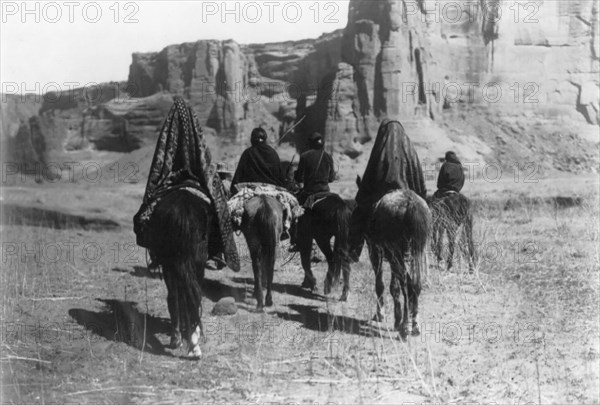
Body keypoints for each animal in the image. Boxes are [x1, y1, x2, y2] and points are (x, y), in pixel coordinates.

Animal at [145, 187, 213, 356]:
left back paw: (178, 339)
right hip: (196, 263)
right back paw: (193, 341)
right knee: (193, 294)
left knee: (176, 296)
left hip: (171, 264)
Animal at [356, 178, 432, 340]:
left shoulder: (375, 251)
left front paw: (381, 315)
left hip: (394, 253)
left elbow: (381, 284)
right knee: (415, 284)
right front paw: (397, 318)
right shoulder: (393, 258)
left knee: (407, 284)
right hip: (416, 251)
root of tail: (410, 204)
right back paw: (414, 324)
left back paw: (405, 327)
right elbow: (394, 286)